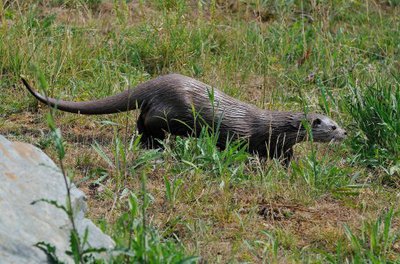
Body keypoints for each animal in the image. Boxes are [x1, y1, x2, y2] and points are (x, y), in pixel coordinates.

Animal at [21, 73, 346, 164]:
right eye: (331, 126)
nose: (345, 133)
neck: (272, 127)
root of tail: (157, 83)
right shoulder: (243, 133)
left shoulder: (281, 144)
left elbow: (285, 156)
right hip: (173, 112)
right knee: (150, 123)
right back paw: (158, 146)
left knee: (140, 120)